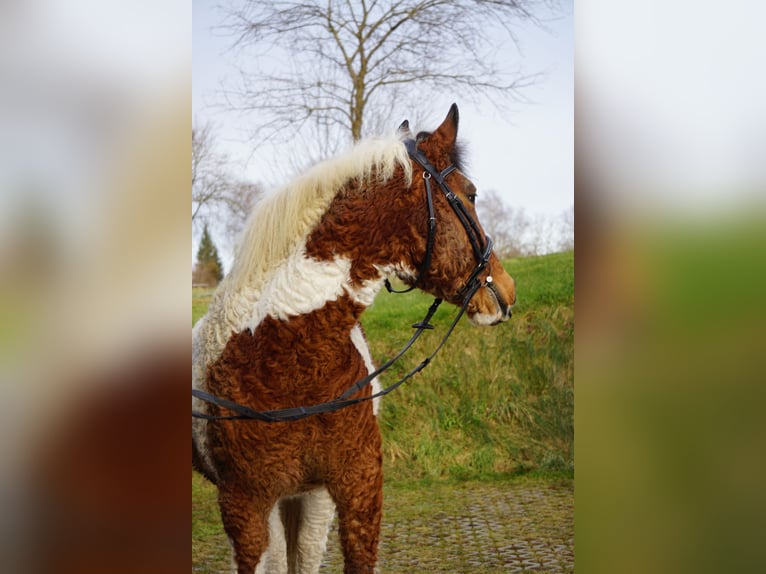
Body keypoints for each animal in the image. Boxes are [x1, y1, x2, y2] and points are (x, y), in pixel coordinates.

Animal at [192, 104, 520, 574]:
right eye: (471, 194)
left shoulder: (358, 485)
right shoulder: (246, 505)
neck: (291, 359)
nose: (507, 290)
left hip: (310, 497)